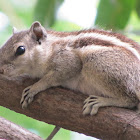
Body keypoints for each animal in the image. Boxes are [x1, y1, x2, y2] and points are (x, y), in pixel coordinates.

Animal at [0, 21, 140, 139]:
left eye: (20, 50)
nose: (1, 70)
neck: (50, 48)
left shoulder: (68, 61)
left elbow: (53, 77)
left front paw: (35, 87)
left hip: (95, 61)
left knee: (130, 99)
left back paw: (101, 101)